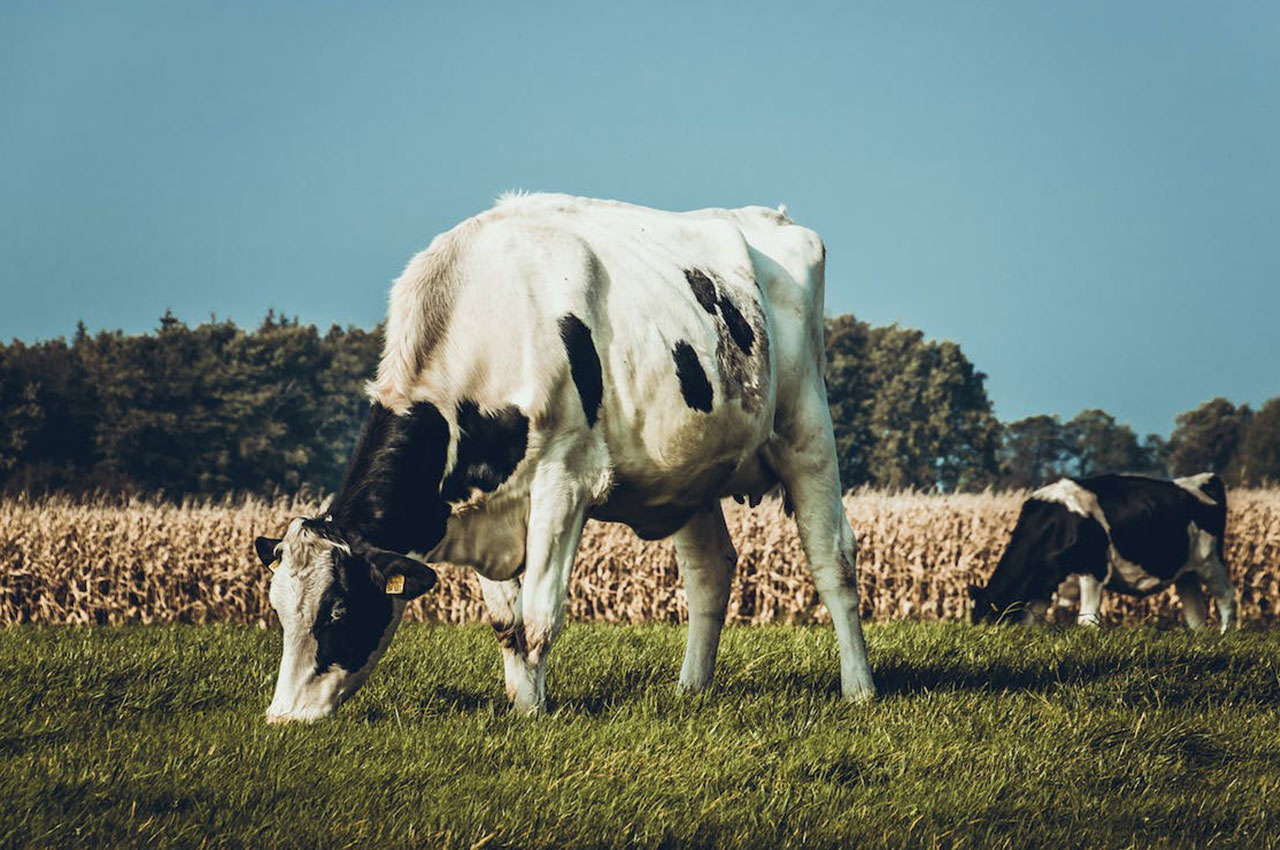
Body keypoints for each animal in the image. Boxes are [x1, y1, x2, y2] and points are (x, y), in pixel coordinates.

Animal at [248, 195, 875, 721]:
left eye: (338, 611)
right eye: (278, 611)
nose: (282, 718)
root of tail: (775, 217)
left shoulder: (564, 484)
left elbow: (539, 615)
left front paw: (536, 716)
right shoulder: (487, 506)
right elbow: (506, 623)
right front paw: (522, 702)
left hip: (807, 430)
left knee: (833, 559)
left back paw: (859, 688)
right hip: (694, 472)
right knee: (710, 573)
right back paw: (690, 689)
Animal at [967, 471, 1239, 629]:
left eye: (989, 622)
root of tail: (1203, 479)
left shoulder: (1093, 569)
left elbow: (1088, 620)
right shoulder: (1043, 585)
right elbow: (1030, 621)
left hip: (1209, 560)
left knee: (1226, 596)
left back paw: (1225, 633)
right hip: (1186, 572)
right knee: (1196, 611)